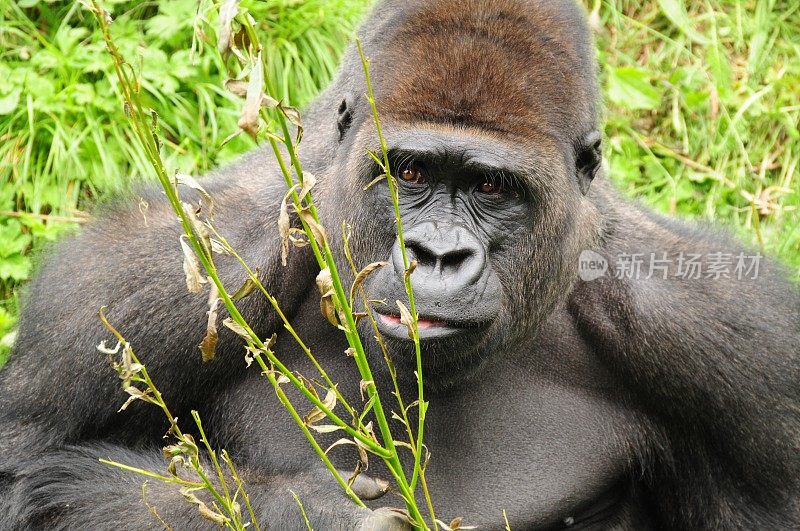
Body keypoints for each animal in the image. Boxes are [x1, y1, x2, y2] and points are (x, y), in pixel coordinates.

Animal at [1, 0, 800, 528]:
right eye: (409, 173)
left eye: (492, 188)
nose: (438, 255)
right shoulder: (140, 278)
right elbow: (24, 469)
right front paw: (307, 509)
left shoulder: (740, 343)